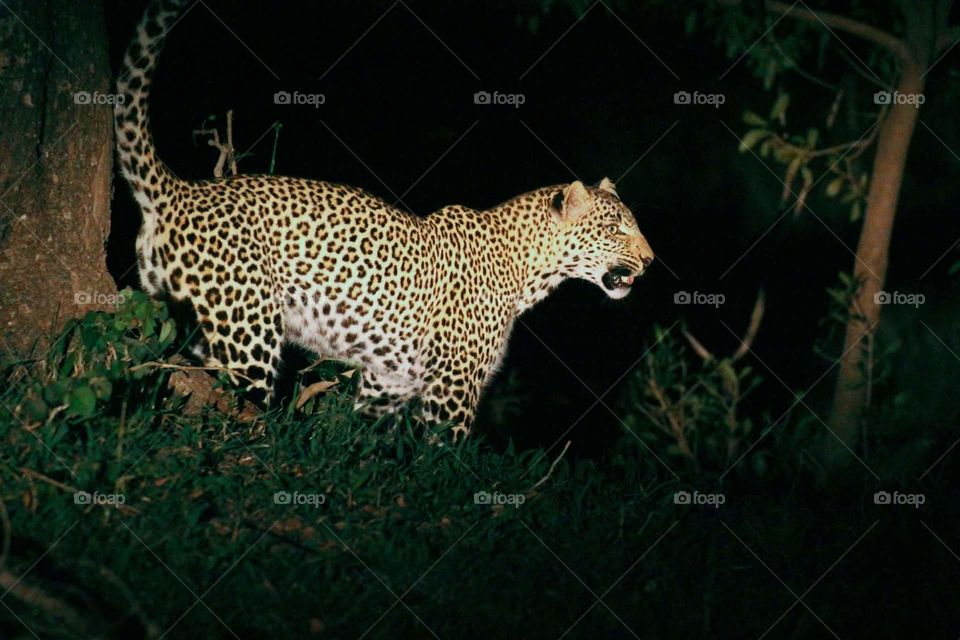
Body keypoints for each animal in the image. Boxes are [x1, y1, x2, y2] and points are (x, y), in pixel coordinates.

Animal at [115, 0, 655, 436]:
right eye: (616, 227)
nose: (651, 260)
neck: (529, 270)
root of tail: (182, 190)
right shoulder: (454, 385)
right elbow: (441, 454)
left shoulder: (388, 380)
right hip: (246, 331)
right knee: (235, 395)